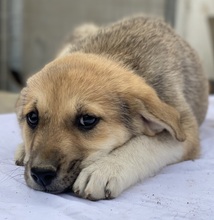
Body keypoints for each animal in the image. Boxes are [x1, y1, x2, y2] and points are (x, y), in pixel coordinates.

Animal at [15, 15, 209, 200]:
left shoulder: (186, 133)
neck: (114, 54)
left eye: (87, 120)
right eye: (33, 117)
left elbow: (146, 143)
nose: (41, 174)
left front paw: (104, 169)